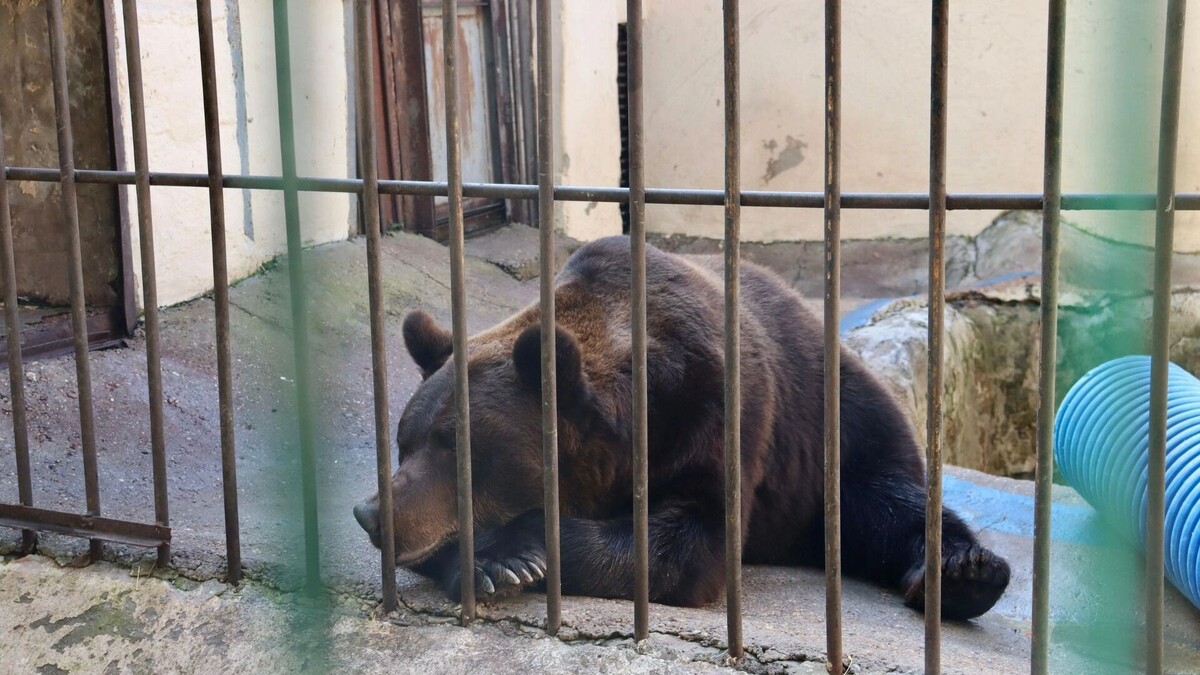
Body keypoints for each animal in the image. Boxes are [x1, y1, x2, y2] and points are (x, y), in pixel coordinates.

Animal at [353, 235, 1010, 620]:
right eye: (404, 442)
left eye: (457, 445)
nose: (371, 513)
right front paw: (492, 563)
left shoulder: (717, 409)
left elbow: (685, 543)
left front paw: (513, 552)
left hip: (839, 425)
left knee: (890, 502)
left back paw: (967, 572)